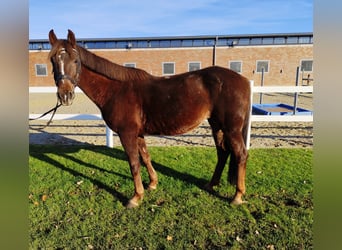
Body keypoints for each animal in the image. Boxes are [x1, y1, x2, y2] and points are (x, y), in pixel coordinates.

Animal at [47, 30, 251, 208]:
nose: (65, 95)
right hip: (216, 125)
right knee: (223, 153)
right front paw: (152, 184)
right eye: (53, 60)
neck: (117, 90)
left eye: (75, 60)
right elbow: (145, 157)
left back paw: (237, 196)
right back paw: (211, 184)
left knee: (240, 154)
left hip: (231, 128)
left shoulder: (127, 133)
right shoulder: (138, 133)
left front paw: (136, 197)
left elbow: (134, 163)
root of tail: (244, 80)